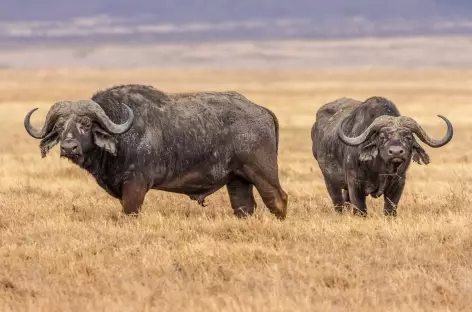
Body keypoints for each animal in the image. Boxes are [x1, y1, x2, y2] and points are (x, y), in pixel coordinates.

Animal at [24, 84, 288, 218]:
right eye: (59, 126)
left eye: (86, 124)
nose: (69, 146)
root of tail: (262, 110)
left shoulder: (135, 186)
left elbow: (130, 212)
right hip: (237, 181)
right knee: (245, 207)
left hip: (262, 173)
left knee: (278, 199)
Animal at [312, 96, 452, 216]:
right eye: (382, 137)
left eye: (408, 137)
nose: (396, 152)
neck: (380, 169)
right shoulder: (355, 184)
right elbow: (360, 210)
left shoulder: (398, 184)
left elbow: (390, 210)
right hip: (330, 181)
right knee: (338, 203)